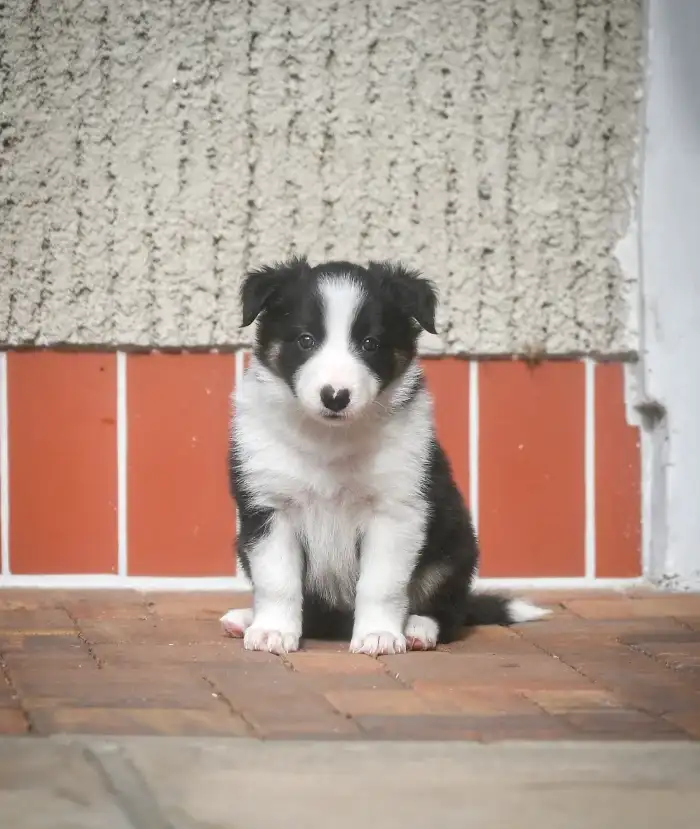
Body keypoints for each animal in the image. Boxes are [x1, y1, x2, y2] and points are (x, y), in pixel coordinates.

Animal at [220, 257, 549, 655]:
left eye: (370, 343)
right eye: (305, 340)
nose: (335, 397)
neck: (330, 438)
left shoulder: (396, 510)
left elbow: (382, 584)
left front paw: (378, 634)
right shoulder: (269, 508)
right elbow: (277, 581)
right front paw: (272, 630)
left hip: (453, 548)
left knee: (448, 610)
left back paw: (418, 628)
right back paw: (245, 618)